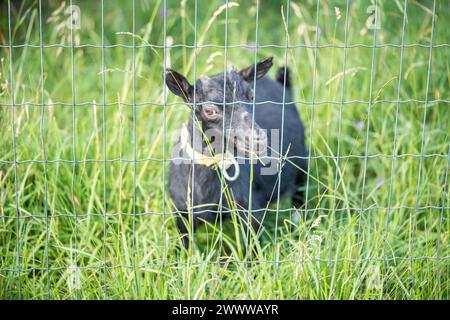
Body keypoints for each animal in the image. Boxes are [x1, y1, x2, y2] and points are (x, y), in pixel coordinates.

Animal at [165, 56, 310, 249]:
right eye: (209, 110)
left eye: (252, 96)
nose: (258, 140)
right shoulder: (182, 214)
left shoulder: (249, 213)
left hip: (302, 165)